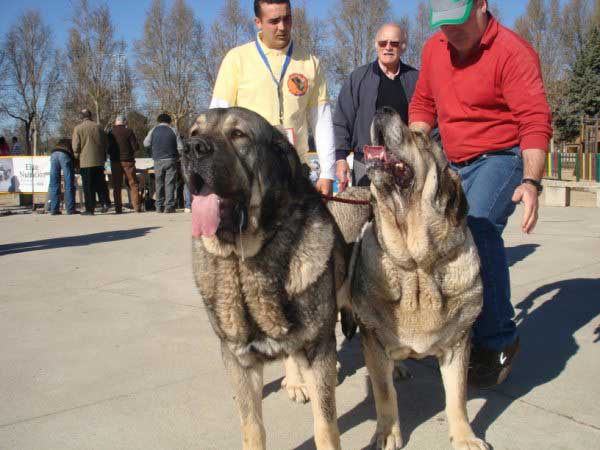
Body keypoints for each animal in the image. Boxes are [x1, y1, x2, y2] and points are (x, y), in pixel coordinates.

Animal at [182, 107, 346, 448]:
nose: (190, 149)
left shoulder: (318, 346)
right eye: (193, 133)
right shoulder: (238, 359)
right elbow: (252, 426)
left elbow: (326, 424)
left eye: (238, 135)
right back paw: (295, 381)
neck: (245, 257)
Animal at [350, 107, 490, 448]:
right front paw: (387, 434)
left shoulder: (458, 342)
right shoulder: (373, 338)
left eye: (421, 137)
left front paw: (465, 436)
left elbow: (457, 396)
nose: (383, 109)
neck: (416, 266)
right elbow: (384, 393)